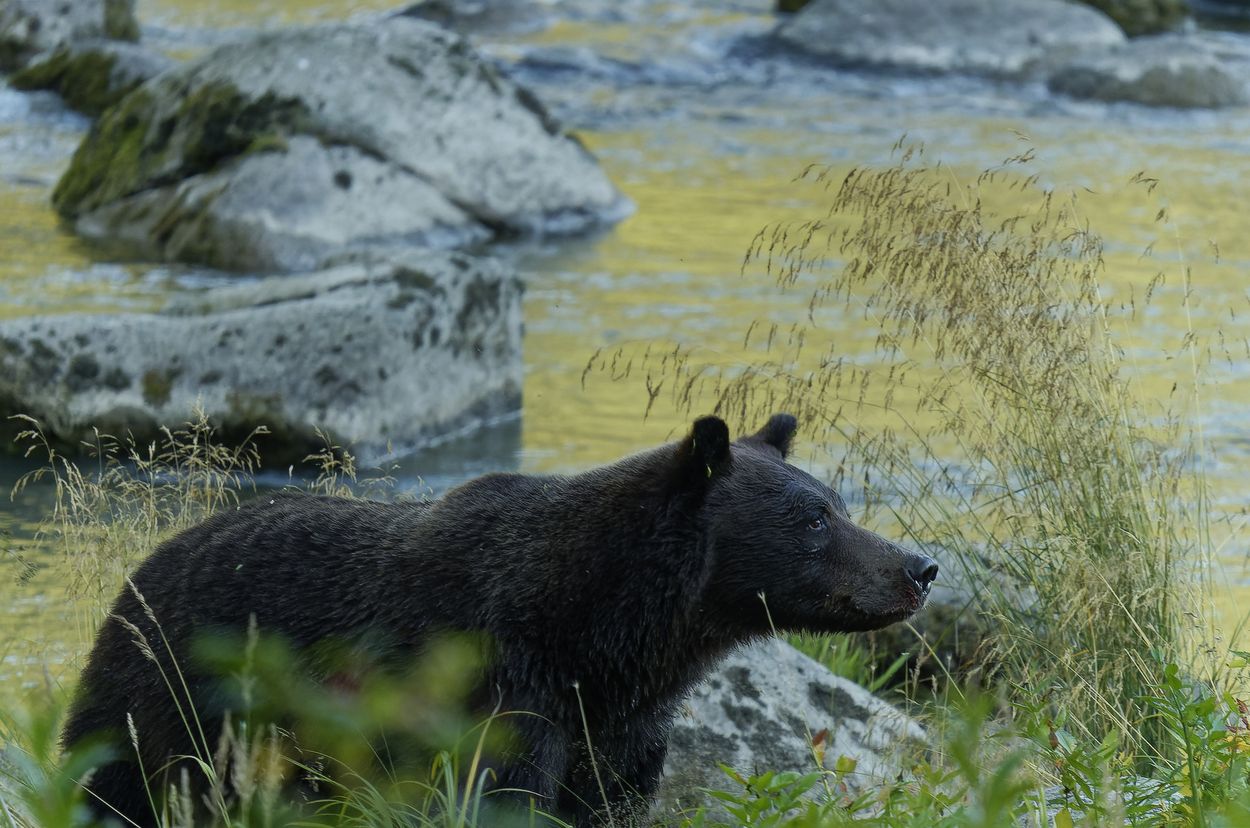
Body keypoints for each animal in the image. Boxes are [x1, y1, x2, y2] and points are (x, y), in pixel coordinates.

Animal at [61, 413, 937, 826]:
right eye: (812, 517)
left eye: (838, 503)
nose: (920, 567)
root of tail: (147, 563)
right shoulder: (497, 687)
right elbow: (499, 793)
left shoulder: (616, 727)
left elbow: (610, 800)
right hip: (174, 693)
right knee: (118, 781)